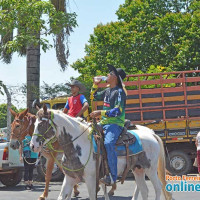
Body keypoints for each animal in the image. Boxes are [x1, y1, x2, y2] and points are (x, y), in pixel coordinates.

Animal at [30, 106, 173, 200]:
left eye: (41, 124)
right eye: (34, 124)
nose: (32, 146)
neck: (77, 145)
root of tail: (152, 134)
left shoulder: (91, 179)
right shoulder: (70, 178)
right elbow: (62, 196)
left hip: (150, 169)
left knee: (158, 188)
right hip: (138, 169)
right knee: (144, 190)